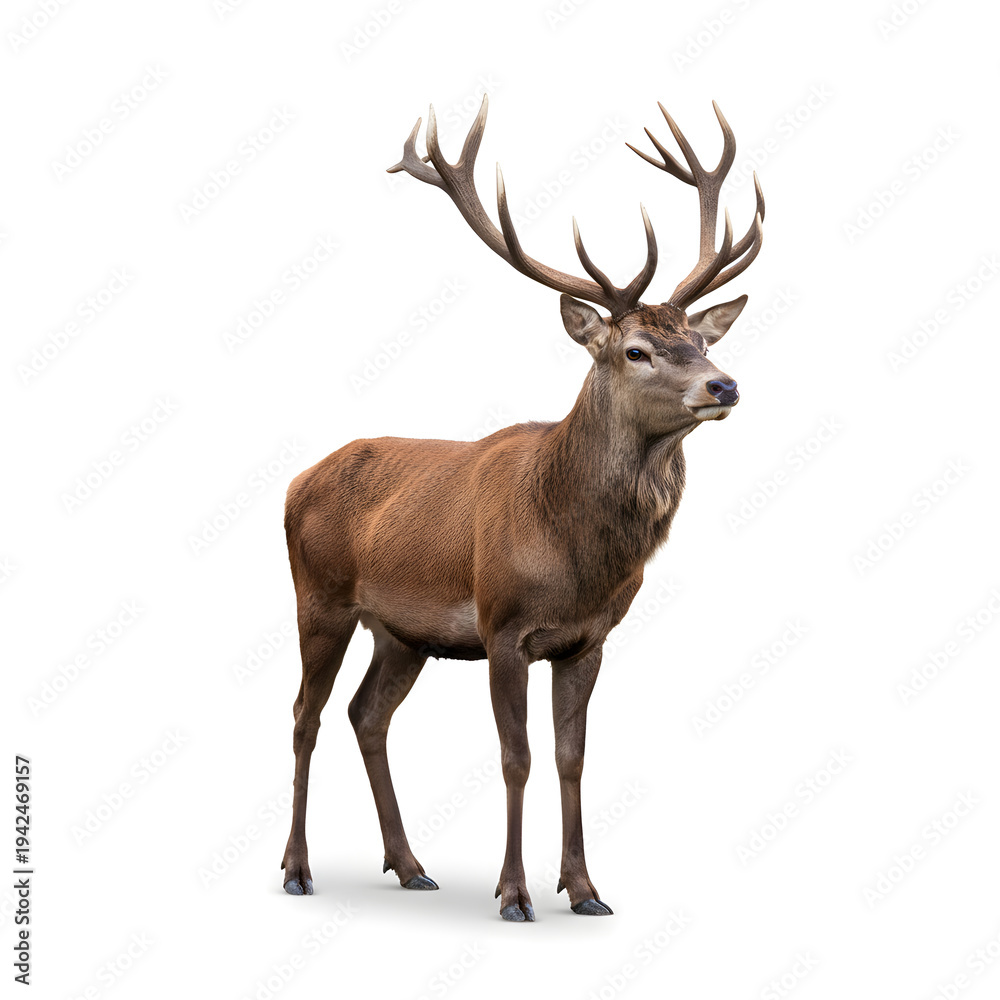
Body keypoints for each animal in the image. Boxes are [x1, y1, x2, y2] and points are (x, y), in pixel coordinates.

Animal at [280, 95, 764, 921]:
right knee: (304, 718)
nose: (724, 385)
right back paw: (296, 868)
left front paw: (585, 888)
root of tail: (293, 482)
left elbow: (571, 757)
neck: (574, 554)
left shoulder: (589, 638)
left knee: (366, 715)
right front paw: (513, 893)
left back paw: (409, 865)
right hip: (320, 598)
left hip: (401, 632)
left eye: (700, 340)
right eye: (635, 350)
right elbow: (516, 757)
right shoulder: (501, 624)